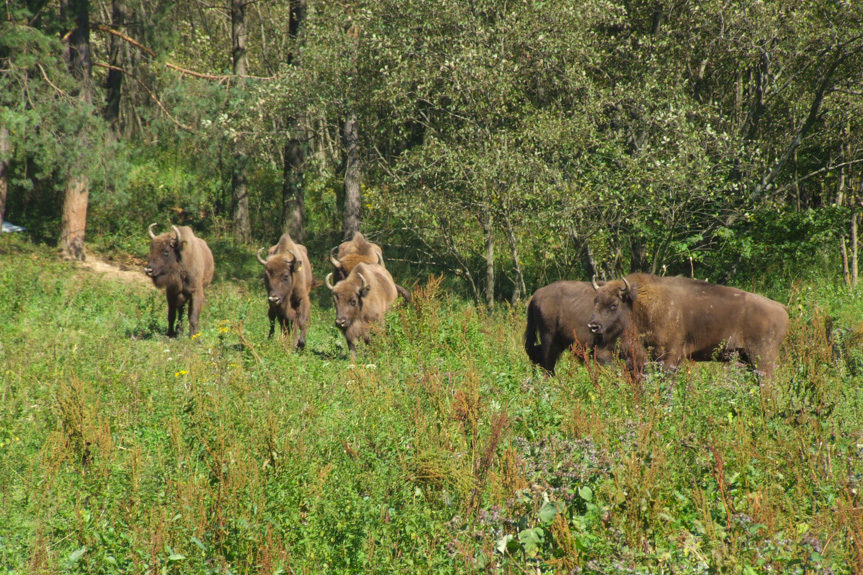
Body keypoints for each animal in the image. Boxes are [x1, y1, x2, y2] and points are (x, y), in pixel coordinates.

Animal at [588, 274, 788, 378]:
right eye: (595, 301)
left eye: (613, 305)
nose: (593, 326)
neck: (640, 303)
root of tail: (781, 308)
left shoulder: (671, 357)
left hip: (762, 359)